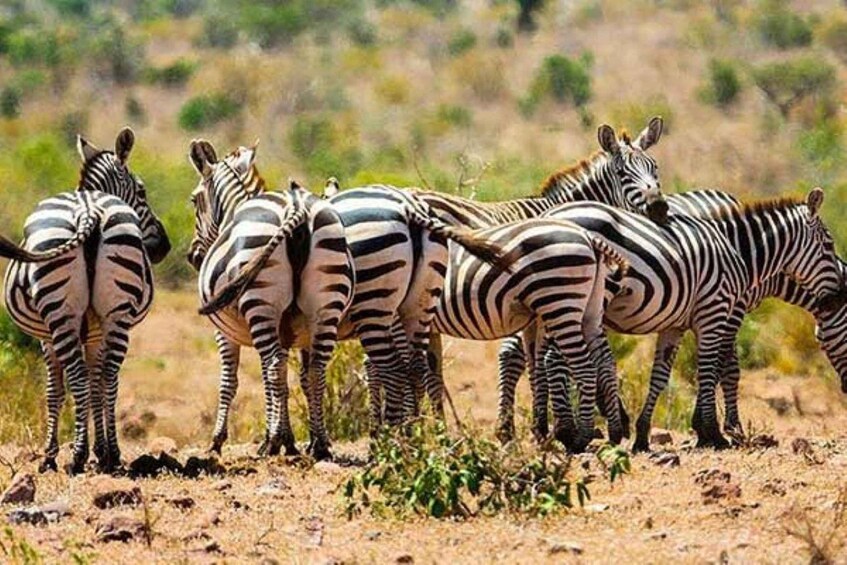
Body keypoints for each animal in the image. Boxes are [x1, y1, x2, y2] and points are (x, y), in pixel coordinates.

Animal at [1, 127, 170, 474]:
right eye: (142, 191)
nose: (164, 246)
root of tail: (89, 211)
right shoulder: (94, 331)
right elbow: (94, 384)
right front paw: (100, 449)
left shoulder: (48, 336)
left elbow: (56, 389)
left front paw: (52, 455)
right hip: (117, 312)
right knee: (108, 378)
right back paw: (112, 454)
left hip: (60, 313)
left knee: (78, 378)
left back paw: (78, 456)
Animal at [187, 141, 509, 458]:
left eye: (193, 200)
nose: (193, 256)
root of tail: (409, 208)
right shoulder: (298, 330)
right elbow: (301, 378)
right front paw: (296, 439)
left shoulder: (233, 330)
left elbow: (237, 379)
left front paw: (227, 440)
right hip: (414, 305)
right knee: (414, 367)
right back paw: (410, 438)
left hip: (368, 306)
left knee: (390, 368)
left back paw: (392, 439)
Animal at [496, 188, 844, 449]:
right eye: (829, 244)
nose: (839, 296)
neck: (741, 253)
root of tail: (546, 216)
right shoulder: (720, 310)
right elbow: (718, 368)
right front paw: (717, 431)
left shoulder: (677, 324)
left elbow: (661, 375)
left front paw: (645, 434)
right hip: (572, 300)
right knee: (554, 359)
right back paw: (568, 431)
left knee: (535, 357)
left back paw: (546, 428)